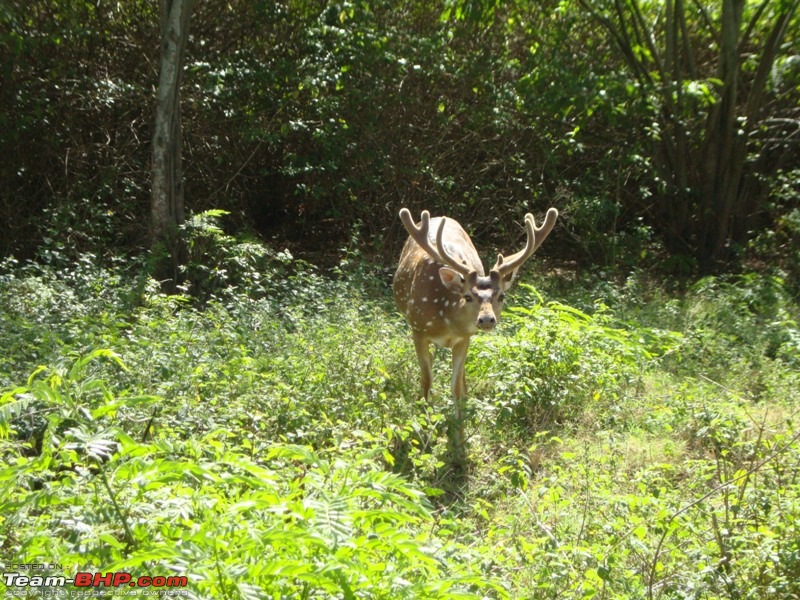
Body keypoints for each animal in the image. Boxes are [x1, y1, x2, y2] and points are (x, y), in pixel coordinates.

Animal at [392, 206, 556, 450]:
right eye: (468, 296)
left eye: (501, 296)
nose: (486, 320)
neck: (446, 321)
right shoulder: (418, 329)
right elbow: (426, 381)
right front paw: (424, 432)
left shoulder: (464, 339)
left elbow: (456, 387)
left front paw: (460, 439)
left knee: (460, 378)